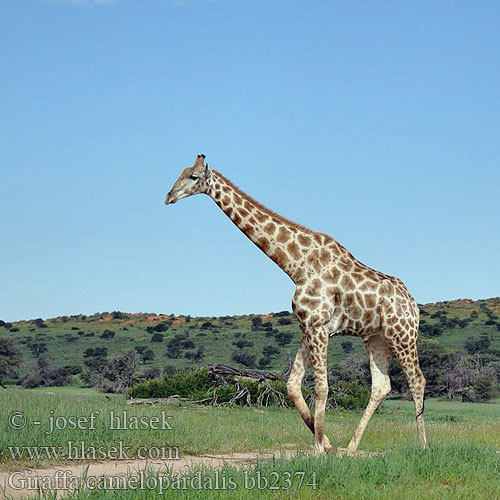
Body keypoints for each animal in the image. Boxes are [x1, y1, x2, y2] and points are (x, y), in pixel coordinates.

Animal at [164, 153, 426, 454]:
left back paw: (422, 445)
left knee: (417, 381)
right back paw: (351, 448)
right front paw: (327, 444)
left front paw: (318, 448)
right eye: (181, 172)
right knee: (382, 386)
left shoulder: (319, 325)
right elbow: (292, 384)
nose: (168, 196)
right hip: (376, 337)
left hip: (402, 336)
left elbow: (321, 387)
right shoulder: (307, 327)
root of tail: (413, 304)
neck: (296, 265)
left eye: (193, 176)